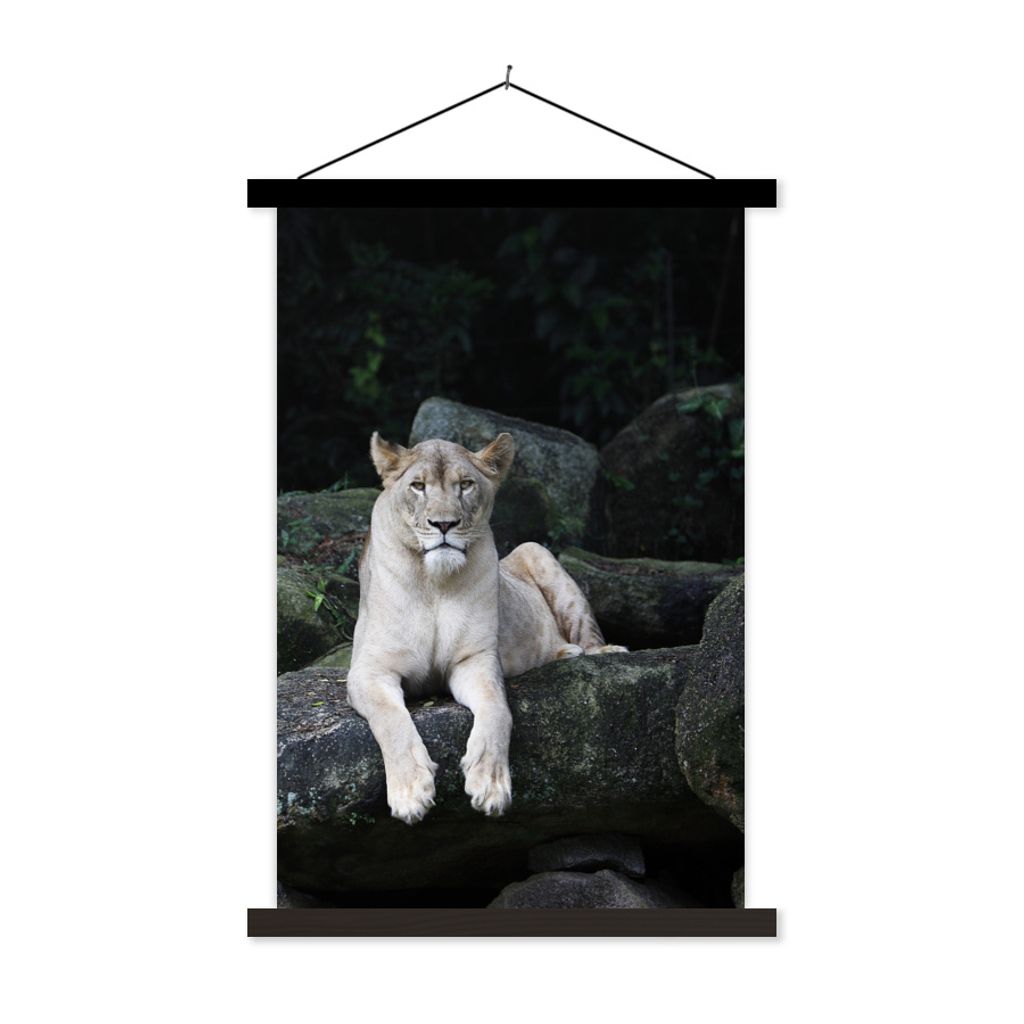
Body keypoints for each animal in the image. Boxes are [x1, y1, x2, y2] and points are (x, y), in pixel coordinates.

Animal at [346, 430, 627, 825]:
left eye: (465, 485)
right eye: (418, 486)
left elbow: (497, 710)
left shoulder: (474, 661)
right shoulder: (369, 670)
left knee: (587, 634)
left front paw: (490, 784)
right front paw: (411, 793)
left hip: (536, 551)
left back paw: (595, 651)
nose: (444, 524)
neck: (434, 583)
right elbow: (391, 720)